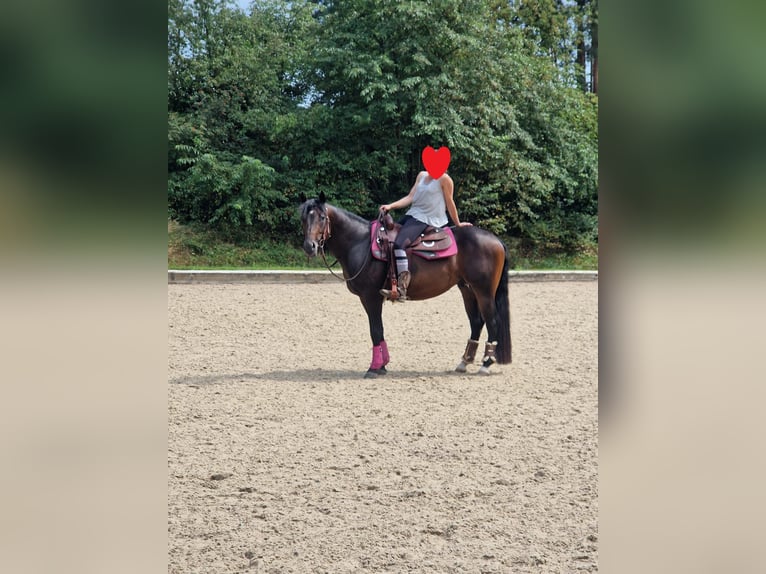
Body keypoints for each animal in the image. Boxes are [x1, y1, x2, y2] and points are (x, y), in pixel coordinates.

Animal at [300, 192, 512, 378]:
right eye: (303, 218)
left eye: (322, 217)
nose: (309, 246)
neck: (360, 243)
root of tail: (496, 240)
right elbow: (379, 330)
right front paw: (382, 365)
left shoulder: (370, 296)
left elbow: (375, 330)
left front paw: (374, 368)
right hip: (467, 289)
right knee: (476, 322)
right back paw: (464, 361)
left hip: (484, 291)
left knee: (492, 321)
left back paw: (486, 363)